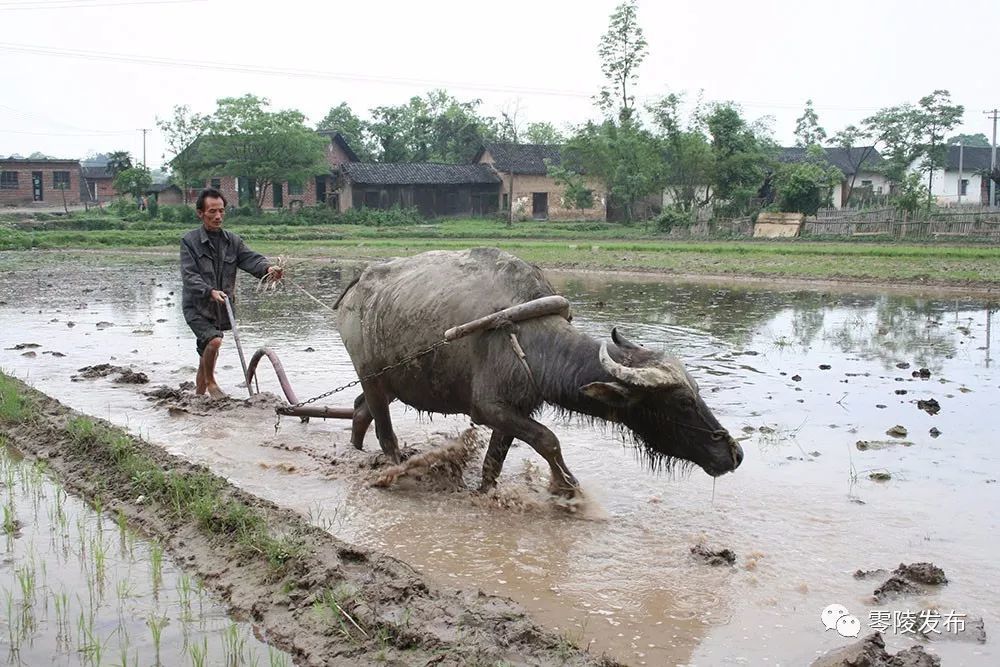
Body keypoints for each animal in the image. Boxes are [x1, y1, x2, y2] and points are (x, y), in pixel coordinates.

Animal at [336, 248, 744, 494]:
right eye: (682, 402)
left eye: (697, 392)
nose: (735, 453)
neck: (530, 338)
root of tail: (358, 284)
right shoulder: (488, 408)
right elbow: (548, 440)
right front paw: (568, 489)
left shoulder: (514, 410)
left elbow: (494, 464)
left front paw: (486, 493)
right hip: (371, 374)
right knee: (384, 432)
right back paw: (393, 469)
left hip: (391, 382)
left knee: (359, 410)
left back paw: (354, 451)